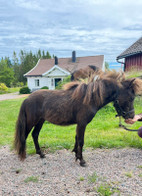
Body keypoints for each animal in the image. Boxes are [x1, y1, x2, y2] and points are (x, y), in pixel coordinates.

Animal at [14, 71, 142, 166]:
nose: (131, 116)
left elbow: (76, 139)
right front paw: (82, 160)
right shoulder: (82, 123)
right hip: (31, 122)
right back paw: (22, 155)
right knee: (24, 136)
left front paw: (76, 155)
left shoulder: (79, 124)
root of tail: (27, 99)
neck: (89, 99)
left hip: (40, 121)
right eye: (131, 98)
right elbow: (81, 140)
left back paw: (41, 154)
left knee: (35, 135)